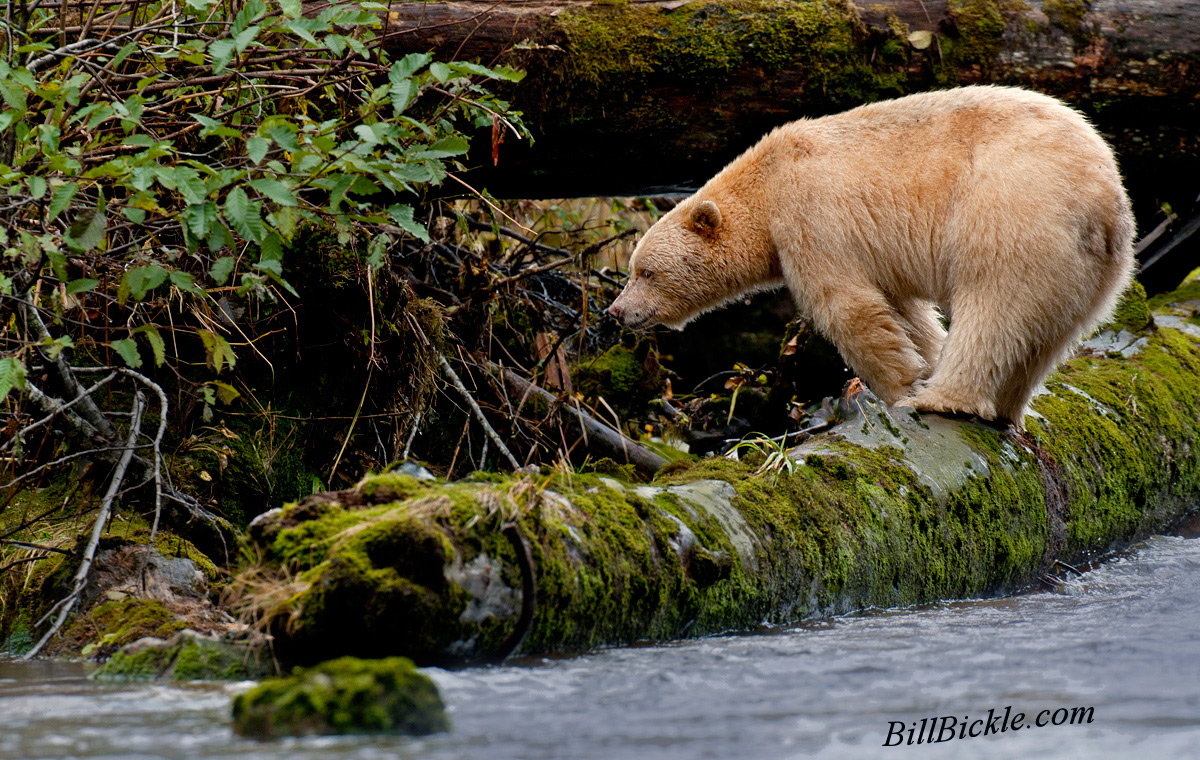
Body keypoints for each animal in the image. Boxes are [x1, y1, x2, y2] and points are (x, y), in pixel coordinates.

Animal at [606, 86, 1135, 428]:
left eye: (645, 272)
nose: (616, 312)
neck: (767, 183)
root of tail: (1103, 198)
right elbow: (903, 312)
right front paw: (923, 363)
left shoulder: (811, 215)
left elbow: (847, 306)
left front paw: (901, 390)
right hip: (1091, 268)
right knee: (1047, 334)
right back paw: (1005, 407)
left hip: (1012, 214)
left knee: (995, 306)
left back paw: (941, 400)